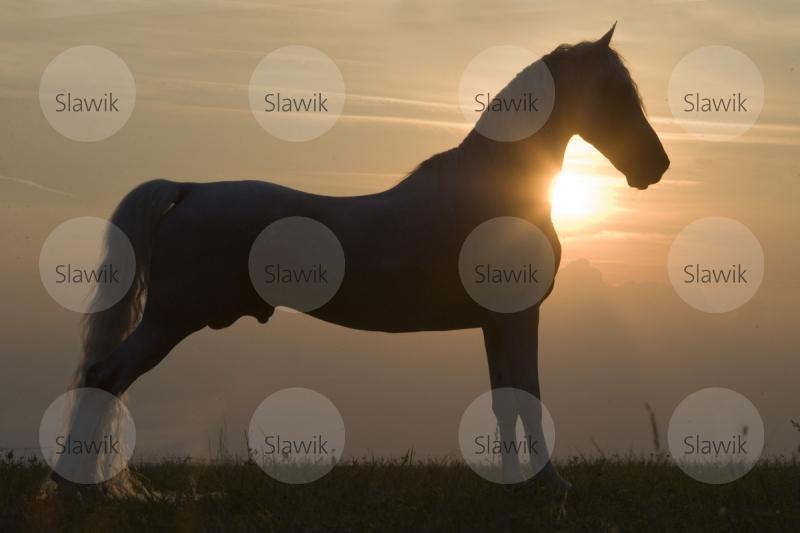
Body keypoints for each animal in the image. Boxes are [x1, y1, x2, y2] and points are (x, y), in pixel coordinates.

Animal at [65, 23, 668, 490]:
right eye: (615, 94)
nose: (656, 167)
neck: (493, 195)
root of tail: (189, 190)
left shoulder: (496, 322)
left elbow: (503, 403)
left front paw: (512, 483)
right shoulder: (519, 317)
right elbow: (528, 398)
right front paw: (550, 484)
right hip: (171, 320)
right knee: (105, 375)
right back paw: (79, 491)